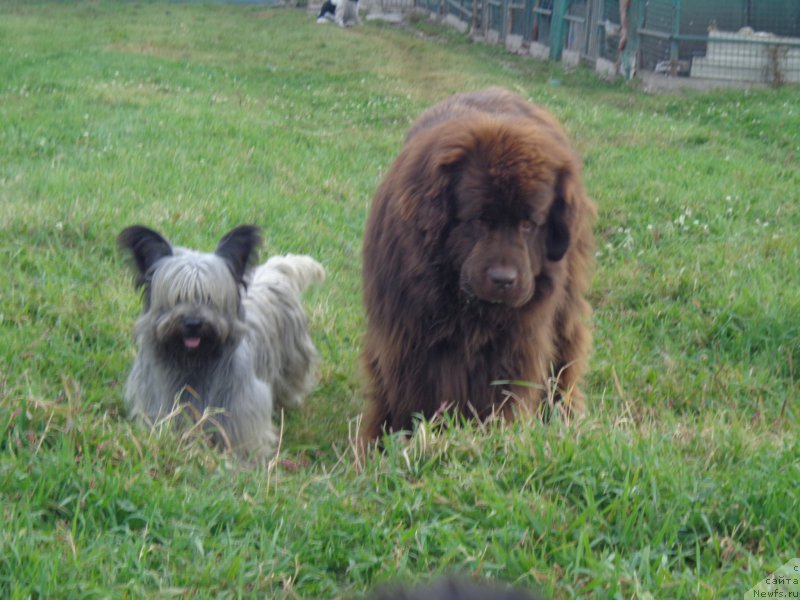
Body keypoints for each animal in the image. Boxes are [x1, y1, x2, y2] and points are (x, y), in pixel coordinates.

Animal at [119, 223, 324, 458]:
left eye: (210, 298)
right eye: (177, 297)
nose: (193, 323)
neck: (194, 364)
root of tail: (274, 272)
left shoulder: (241, 412)